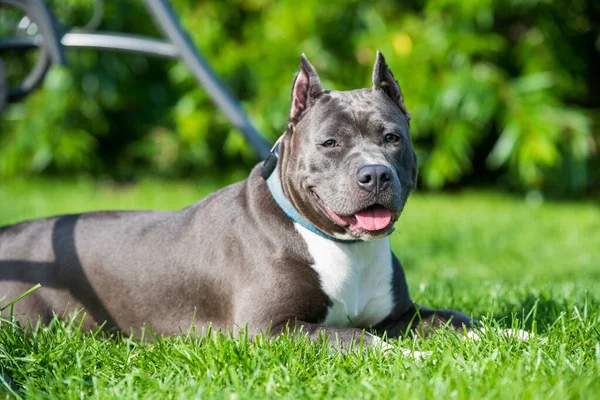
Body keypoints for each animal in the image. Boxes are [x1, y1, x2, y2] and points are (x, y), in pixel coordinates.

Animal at [2, 52, 476, 346]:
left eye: (392, 138)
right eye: (330, 143)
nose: (375, 173)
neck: (338, 245)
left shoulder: (401, 316)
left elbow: (457, 320)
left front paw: (493, 337)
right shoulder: (271, 329)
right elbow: (357, 339)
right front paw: (414, 355)